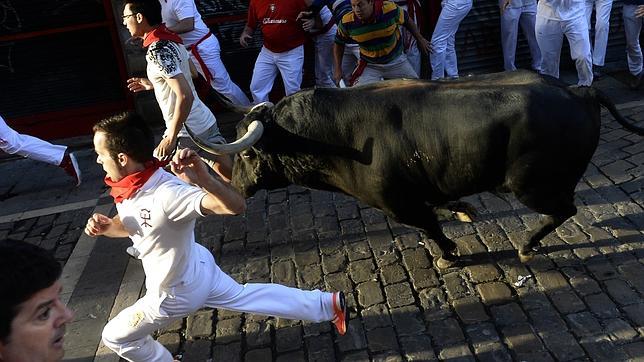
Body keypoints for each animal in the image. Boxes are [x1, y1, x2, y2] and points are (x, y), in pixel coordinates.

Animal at [187, 71, 644, 268]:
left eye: (248, 155)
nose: (236, 188)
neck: (332, 137)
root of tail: (579, 90)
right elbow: (440, 209)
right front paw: (463, 210)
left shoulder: (397, 203)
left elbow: (429, 226)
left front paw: (449, 254)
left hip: (531, 185)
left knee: (564, 210)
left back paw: (528, 245)